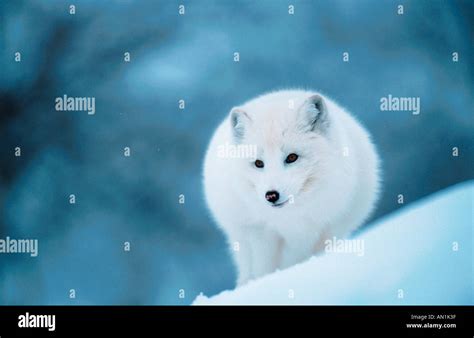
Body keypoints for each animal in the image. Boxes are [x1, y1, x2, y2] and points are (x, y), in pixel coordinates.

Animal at [204, 89, 382, 286]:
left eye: (291, 157)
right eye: (258, 163)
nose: (271, 195)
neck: (291, 219)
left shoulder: (328, 228)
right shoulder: (260, 234)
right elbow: (263, 269)